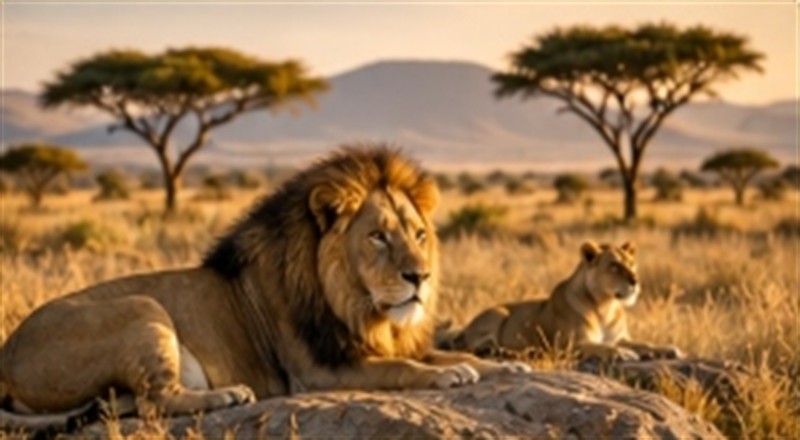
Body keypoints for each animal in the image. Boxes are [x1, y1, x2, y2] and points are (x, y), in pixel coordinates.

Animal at [0, 145, 529, 430]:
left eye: (419, 235)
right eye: (378, 236)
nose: (420, 277)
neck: (361, 307)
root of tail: (6, 354)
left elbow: (444, 352)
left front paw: (506, 365)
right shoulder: (319, 370)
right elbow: (403, 367)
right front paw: (450, 374)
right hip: (141, 307)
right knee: (156, 401)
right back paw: (227, 396)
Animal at [438, 241, 682, 362]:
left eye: (632, 264)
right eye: (614, 266)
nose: (635, 281)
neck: (606, 305)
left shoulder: (620, 337)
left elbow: (644, 343)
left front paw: (668, 349)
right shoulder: (570, 345)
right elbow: (601, 347)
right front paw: (623, 354)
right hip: (498, 313)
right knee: (473, 347)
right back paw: (504, 353)